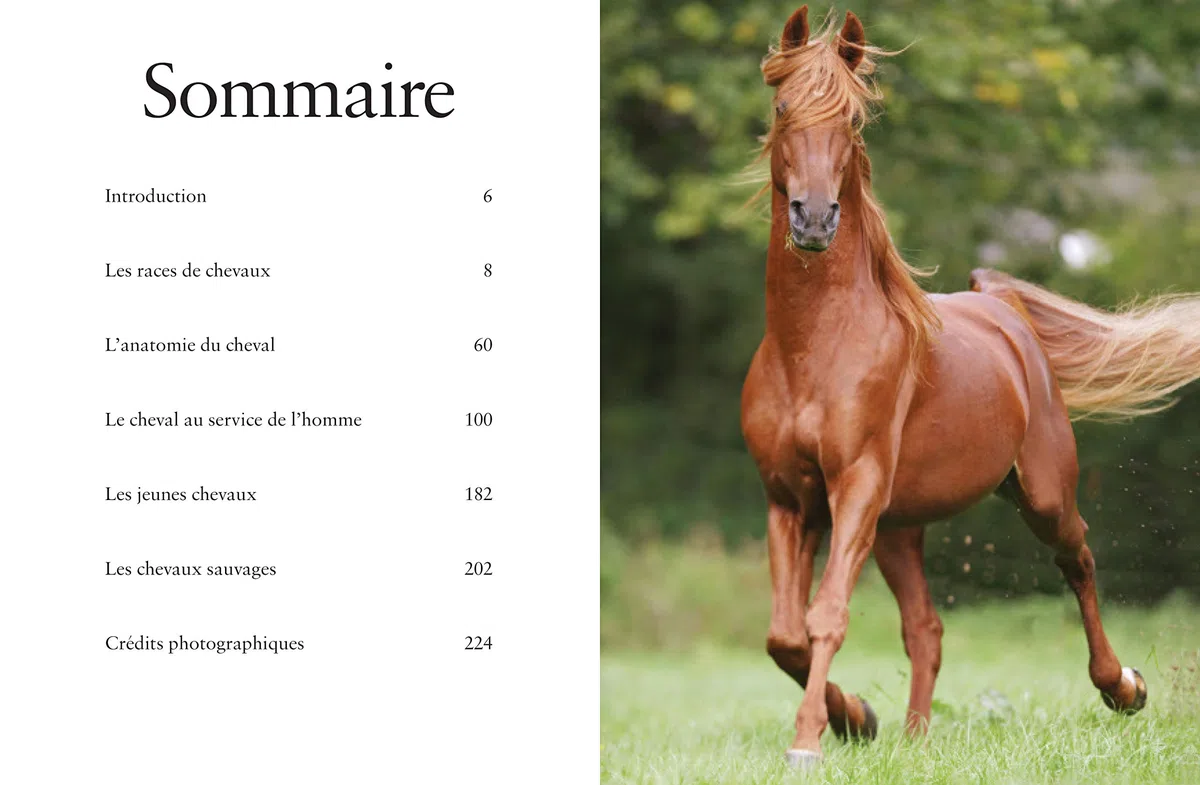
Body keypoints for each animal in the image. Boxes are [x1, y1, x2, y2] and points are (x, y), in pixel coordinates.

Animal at [740, 6, 1200, 766]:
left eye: (854, 121)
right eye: (782, 108)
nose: (814, 219)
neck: (813, 348)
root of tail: (1004, 309)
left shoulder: (854, 486)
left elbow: (825, 616)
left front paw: (808, 742)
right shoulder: (790, 498)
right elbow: (784, 635)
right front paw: (855, 717)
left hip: (1040, 493)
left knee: (1079, 560)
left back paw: (1124, 687)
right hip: (898, 526)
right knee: (925, 626)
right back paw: (913, 738)